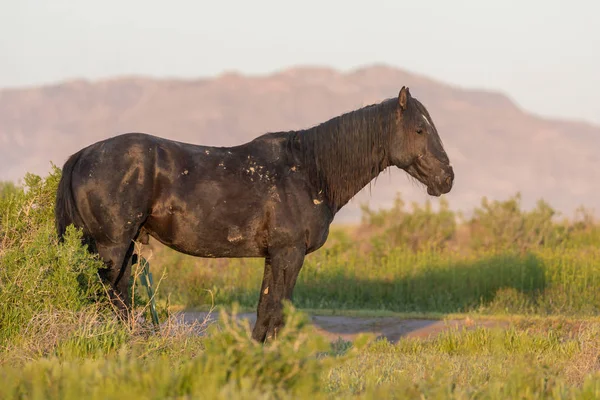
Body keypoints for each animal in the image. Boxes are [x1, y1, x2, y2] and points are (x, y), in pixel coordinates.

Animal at [55, 86, 454, 340]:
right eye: (420, 129)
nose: (447, 178)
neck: (309, 170)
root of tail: (83, 154)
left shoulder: (274, 256)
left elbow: (267, 309)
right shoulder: (289, 255)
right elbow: (277, 311)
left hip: (122, 248)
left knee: (118, 296)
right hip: (112, 246)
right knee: (108, 294)